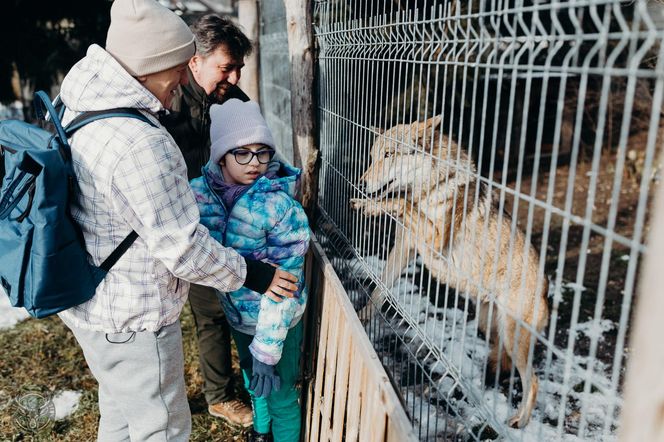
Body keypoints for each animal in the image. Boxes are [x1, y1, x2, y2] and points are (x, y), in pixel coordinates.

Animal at [352, 115, 548, 428]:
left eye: (389, 155)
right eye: (373, 157)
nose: (362, 182)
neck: (431, 185)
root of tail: (546, 287)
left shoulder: (431, 240)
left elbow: (400, 202)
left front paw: (373, 205)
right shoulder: (406, 247)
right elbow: (379, 290)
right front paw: (362, 316)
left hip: (513, 335)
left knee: (534, 381)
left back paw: (519, 420)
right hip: (490, 326)